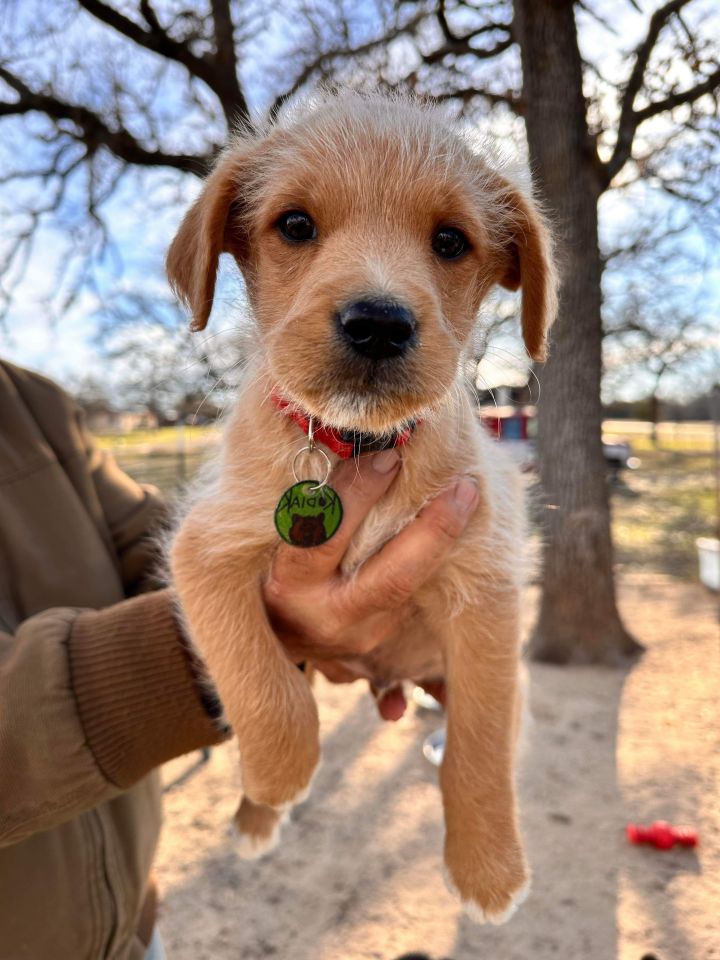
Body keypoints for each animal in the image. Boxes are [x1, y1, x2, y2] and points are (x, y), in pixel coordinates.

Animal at [167, 90, 556, 924]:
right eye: (295, 225)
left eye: (451, 240)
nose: (378, 322)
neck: (356, 444)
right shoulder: (206, 546)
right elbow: (264, 685)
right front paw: (273, 782)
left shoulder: (486, 589)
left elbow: (481, 744)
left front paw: (489, 869)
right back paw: (256, 816)